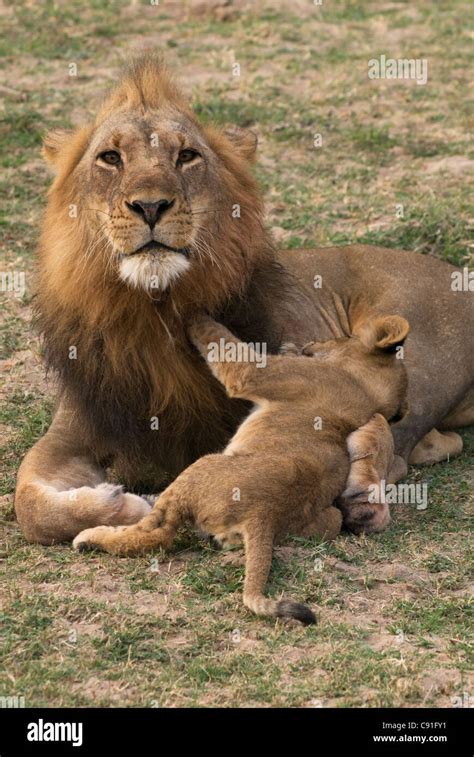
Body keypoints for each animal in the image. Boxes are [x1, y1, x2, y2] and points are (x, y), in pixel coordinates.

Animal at [15, 53, 474, 544]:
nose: (151, 206)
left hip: (415, 348)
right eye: (111, 158)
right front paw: (119, 505)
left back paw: (364, 495)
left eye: (186, 156)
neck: (151, 307)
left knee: (397, 433)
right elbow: (29, 503)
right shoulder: (77, 425)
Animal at [73, 312, 408, 620]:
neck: (364, 389)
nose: (309, 343)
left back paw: (92, 538)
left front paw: (194, 314)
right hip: (330, 518)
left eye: (346, 335)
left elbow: (222, 341)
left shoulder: (254, 374)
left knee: (155, 535)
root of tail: (264, 516)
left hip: (204, 464)